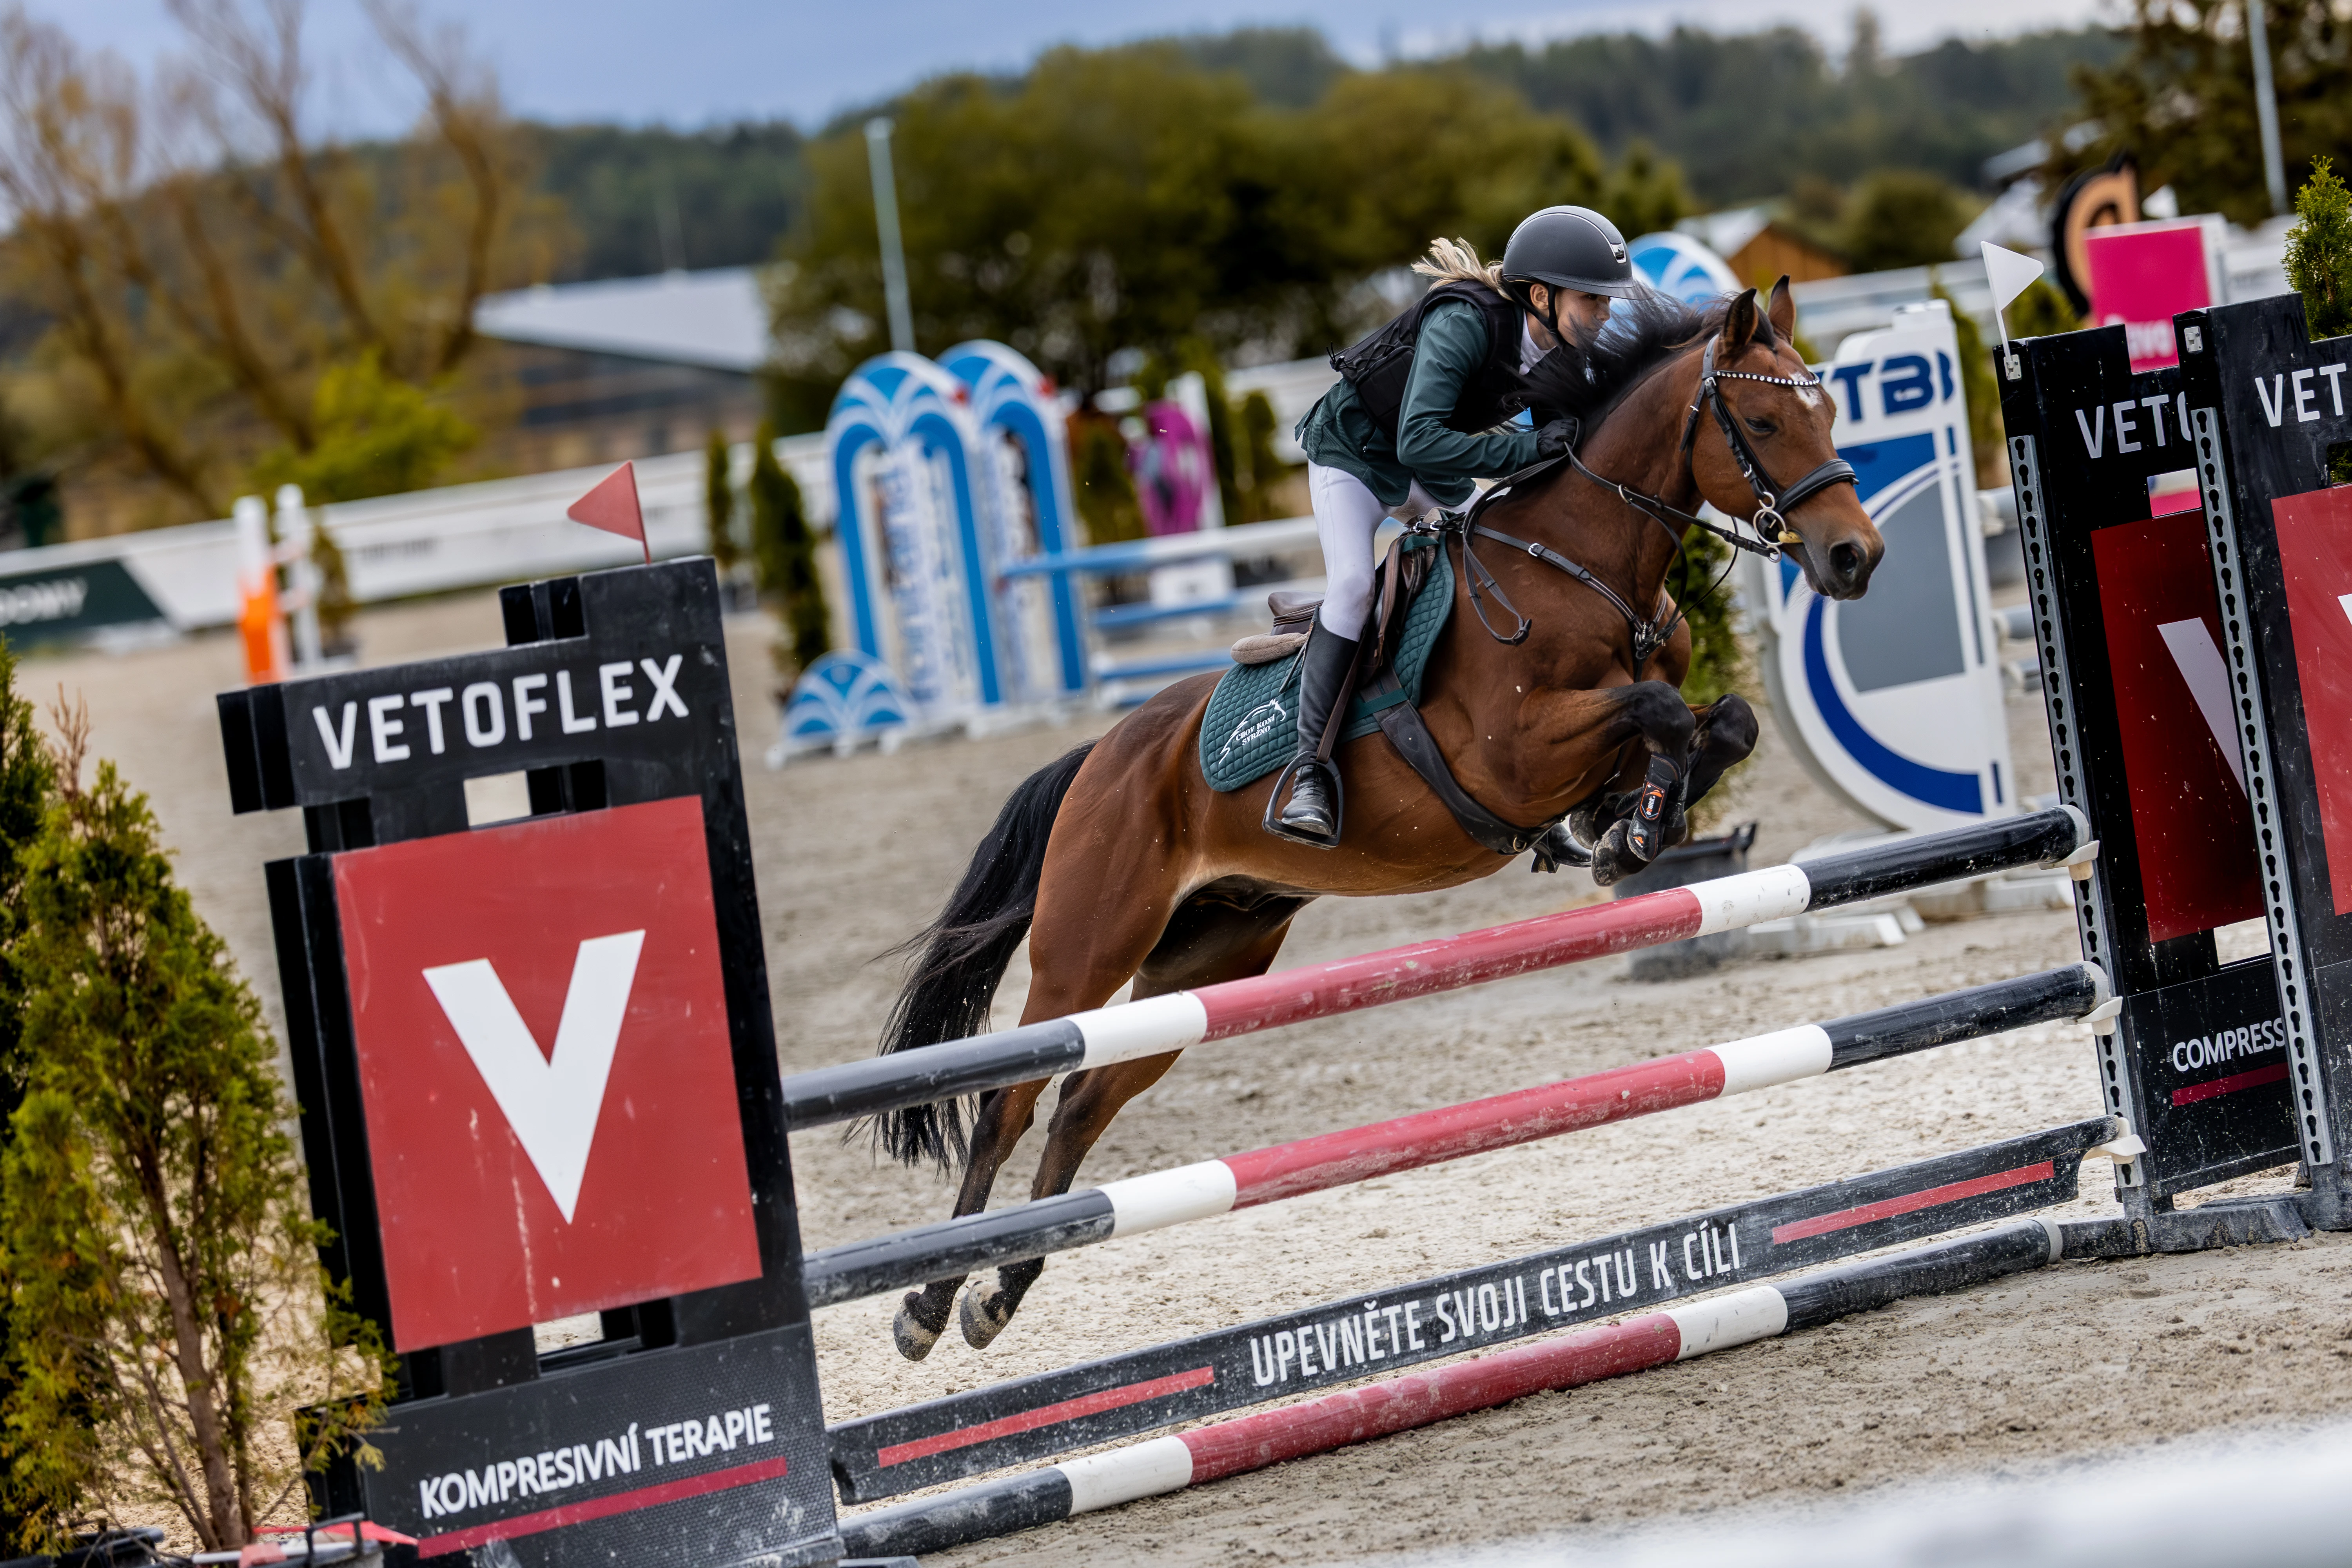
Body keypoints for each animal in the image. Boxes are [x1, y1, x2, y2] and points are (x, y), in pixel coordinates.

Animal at [869, 280, 1884, 1361]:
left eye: (1830, 409)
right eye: (1765, 422)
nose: (1855, 556)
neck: (1587, 566)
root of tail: (1102, 753)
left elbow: (1718, 721)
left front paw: (1632, 825)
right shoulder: (1515, 754)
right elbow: (1653, 712)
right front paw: (1635, 830)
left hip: (1206, 957)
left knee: (1081, 1103)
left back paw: (999, 1295)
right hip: (1088, 945)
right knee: (1009, 1100)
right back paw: (929, 1305)